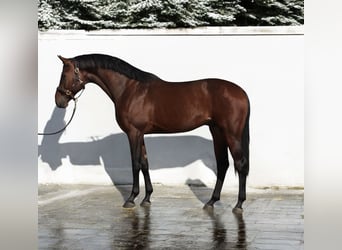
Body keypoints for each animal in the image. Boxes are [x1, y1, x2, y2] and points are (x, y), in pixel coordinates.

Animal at [54, 53, 250, 213]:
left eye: (64, 75)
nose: (59, 101)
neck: (129, 89)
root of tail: (241, 92)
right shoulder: (140, 134)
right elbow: (144, 163)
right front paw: (147, 198)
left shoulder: (133, 133)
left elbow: (135, 163)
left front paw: (131, 199)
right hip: (217, 132)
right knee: (223, 164)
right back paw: (211, 202)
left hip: (231, 134)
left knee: (240, 165)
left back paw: (239, 204)